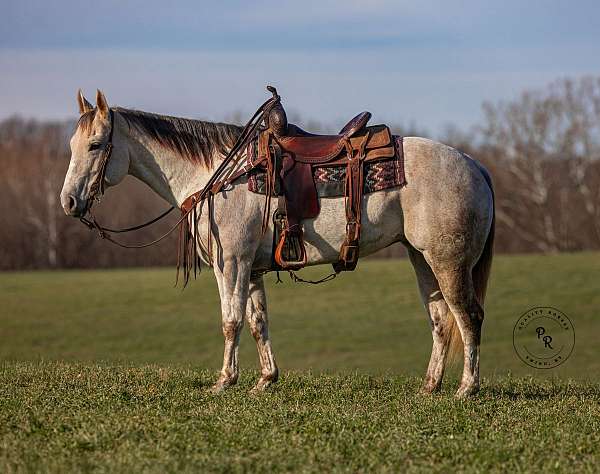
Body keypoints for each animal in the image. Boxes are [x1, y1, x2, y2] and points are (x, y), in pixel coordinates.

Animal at [59, 90, 492, 398]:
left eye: (95, 145)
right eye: (72, 146)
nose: (69, 202)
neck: (218, 175)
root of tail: (475, 165)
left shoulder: (231, 262)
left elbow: (231, 320)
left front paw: (224, 380)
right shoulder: (250, 267)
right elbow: (257, 322)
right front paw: (265, 379)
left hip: (448, 262)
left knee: (468, 316)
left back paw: (465, 389)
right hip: (422, 259)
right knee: (441, 320)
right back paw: (430, 387)